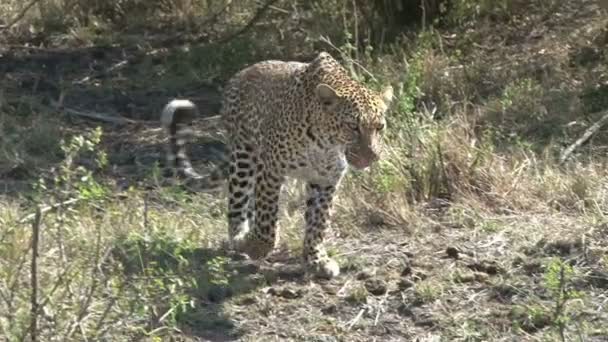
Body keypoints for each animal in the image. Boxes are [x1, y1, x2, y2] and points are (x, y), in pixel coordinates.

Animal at [159, 52, 392, 280]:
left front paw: (316, 260)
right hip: (244, 157)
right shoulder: (272, 170)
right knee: (237, 203)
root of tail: (239, 75)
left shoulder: (326, 179)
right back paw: (239, 239)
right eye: (352, 126)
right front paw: (256, 247)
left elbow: (318, 222)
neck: (326, 143)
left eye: (379, 127)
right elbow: (267, 218)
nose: (372, 156)